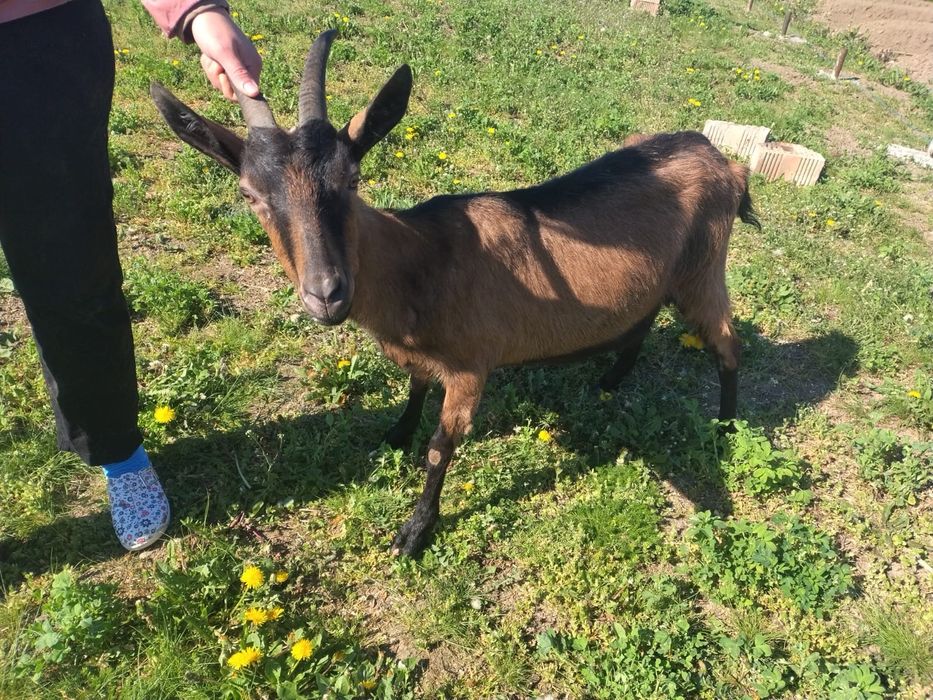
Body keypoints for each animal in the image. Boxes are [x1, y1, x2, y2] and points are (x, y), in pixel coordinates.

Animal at [151, 30, 760, 556]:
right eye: (251, 194)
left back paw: (728, 426)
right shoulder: (426, 356)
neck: (422, 259)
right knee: (642, 320)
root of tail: (725, 162)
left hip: (703, 269)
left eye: (352, 179)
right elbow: (415, 387)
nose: (326, 293)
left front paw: (415, 531)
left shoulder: (470, 366)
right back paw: (611, 381)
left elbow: (440, 449)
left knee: (727, 344)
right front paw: (394, 433)